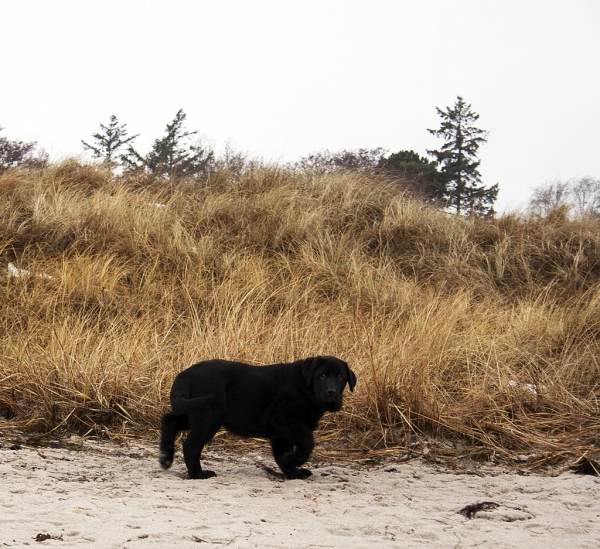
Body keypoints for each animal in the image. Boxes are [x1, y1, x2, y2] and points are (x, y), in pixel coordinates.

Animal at [159, 358, 356, 478]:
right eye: (322, 376)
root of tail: (187, 373)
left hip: (194, 411)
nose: (332, 392)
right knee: (191, 444)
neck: (306, 387)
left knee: (169, 419)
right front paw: (293, 461)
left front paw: (293, 472)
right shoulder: (285, 419)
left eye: (340, 376)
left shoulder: (281, 433)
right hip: (209, 415)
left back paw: (165, 457)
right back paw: (198, 474)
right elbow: (307, 443)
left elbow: (281, 454)